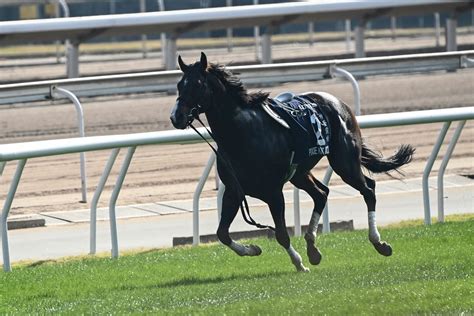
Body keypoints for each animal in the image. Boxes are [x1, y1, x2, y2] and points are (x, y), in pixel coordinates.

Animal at [170, 52, 414, 272]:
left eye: (197, 84)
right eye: (180, 85)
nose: (176, 117)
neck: (243, 133)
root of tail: (338, 103)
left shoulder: (273, 191)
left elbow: (281, 234)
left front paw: (299, 263)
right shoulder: (234, 190)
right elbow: (222, 234)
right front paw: (253, 249)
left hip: (344, 162)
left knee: (368, 189)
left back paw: (378, 243)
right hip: (299, 173)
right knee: (321, 193)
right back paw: (312, 248)